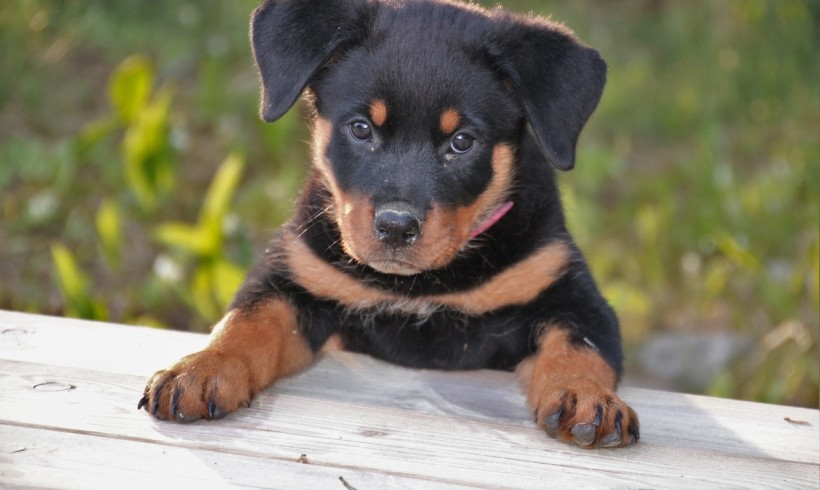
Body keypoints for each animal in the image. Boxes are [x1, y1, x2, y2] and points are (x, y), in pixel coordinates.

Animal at [139, 0, 640, 448]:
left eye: (462, 142)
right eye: (361, 128)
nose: (397, 227)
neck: (419, 288)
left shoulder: (571, 295)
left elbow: (579, 348)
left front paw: (587, 398)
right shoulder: (296, 278)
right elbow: (247, 319)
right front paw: (202, 369)